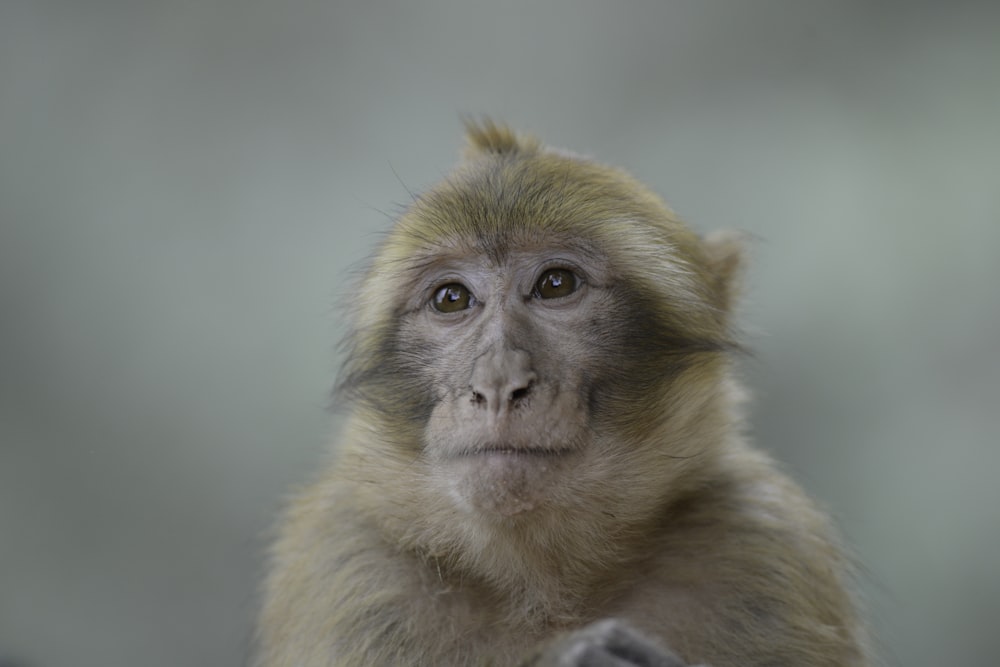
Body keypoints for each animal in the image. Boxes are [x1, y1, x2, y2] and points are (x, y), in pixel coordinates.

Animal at [254, 121, 872, 667]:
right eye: (452, 298)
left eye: (556, 284)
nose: (496, 383)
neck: (544, 583)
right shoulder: (348, 568)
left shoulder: (764, 546)